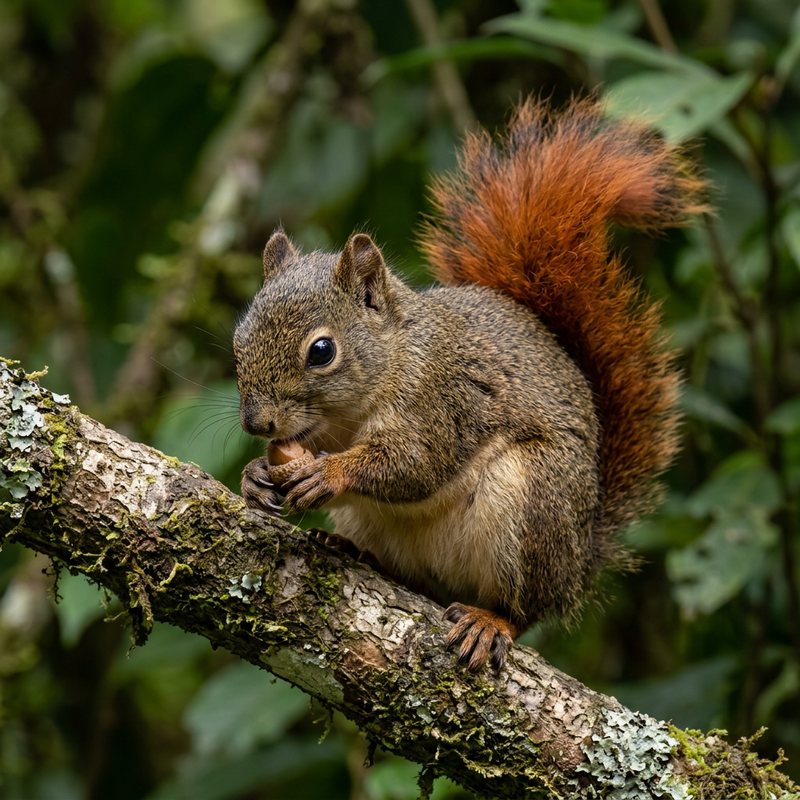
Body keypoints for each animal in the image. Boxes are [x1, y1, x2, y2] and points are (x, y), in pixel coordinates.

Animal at [234, 98, 706, 672]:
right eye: (238, 337)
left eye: (321, 351)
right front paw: (255, 475)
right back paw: (349, 549)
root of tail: (578, 560)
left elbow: (414, 464)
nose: (257, 423)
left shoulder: (442, 399)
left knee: (525, 607)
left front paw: (330, 472)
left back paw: (491, 621)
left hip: (535, 506)